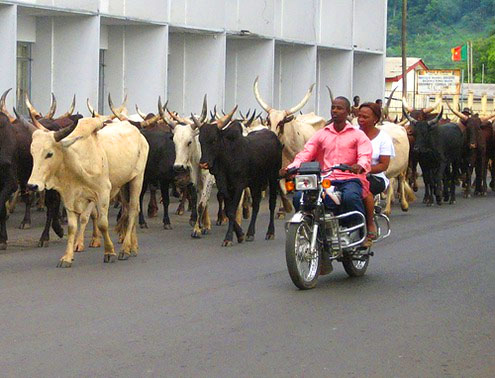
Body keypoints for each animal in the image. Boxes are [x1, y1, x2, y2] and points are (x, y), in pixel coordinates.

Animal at [28, 116, 148, 268]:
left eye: (49, 154)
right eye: (32, 153)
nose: (32, 185)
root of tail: (139, 134)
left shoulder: (103, 192)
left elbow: (102, 224)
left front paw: (109, 252)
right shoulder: (69, 197)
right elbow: (72, 227)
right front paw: (67, 257)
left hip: (137, 178)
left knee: (132, 210)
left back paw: (125, 249)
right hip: (123, 185)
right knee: (130, 209)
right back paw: (133, 247)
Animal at [197, 108, 282, 247]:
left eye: (214, 140)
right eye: (200, 140)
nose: (203, 163)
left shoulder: (239, 186)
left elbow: (232, 210)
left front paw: (228, 238)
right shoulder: (224, 186)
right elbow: (228, 209)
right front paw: (241, 234)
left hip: (273, 177)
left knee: (272, 203)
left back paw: (270, 232)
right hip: (255, 183)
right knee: (256, 204)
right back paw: (250, 233)